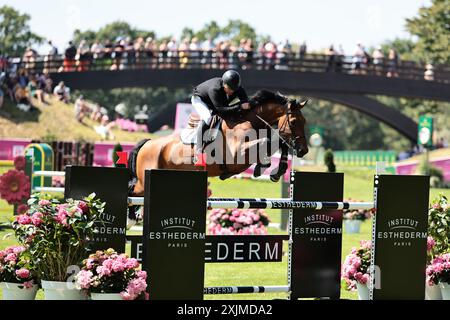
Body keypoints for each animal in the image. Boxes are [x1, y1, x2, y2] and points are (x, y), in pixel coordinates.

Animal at [128, 89, 308, 196]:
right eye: (293, 122)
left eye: (304, 121)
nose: (303, 151)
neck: (247, 120)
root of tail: (147, 143)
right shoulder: (238, 153)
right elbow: (267, 141)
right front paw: (261, 168)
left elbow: (278, 143)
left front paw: (277, 172)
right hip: (144, 183)